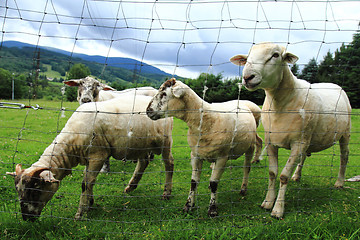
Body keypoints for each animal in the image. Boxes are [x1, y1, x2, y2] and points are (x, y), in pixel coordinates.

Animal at [5, 94, 174, 220]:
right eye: (17, 190)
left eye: (35, 190)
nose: (26, 218)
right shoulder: (89, 158)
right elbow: (89, 181)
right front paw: (90, 203)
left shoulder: (98, 155)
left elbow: (86, 183)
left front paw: (81, 212)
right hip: (140, 144)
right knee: (143, 162)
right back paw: (131, 186)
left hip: (165, 141)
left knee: (169, 164)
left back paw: (166, 193)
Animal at [146, 78, 258, 218]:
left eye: (164, 94)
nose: (148, 110)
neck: (204, 120)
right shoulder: (195, 155)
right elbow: (194, 182)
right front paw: (188, 205)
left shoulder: (223, 157)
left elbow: (214, 183)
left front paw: (212, 209)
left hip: (250, 146)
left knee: (246, 168)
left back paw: (243, 189)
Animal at [231, 42, 352, 218]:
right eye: (247, 57)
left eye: (275, 55)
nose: (247, 77)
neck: (280, 103)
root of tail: (334, 85)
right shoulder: (271, 141)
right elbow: (272, 173)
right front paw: (268, 202)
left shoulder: (298, 143)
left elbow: (283, 176)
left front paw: (277, 209)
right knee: (304, 157)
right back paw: (297, 175)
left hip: (345, 133)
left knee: (344, 156)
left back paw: (339, 182)